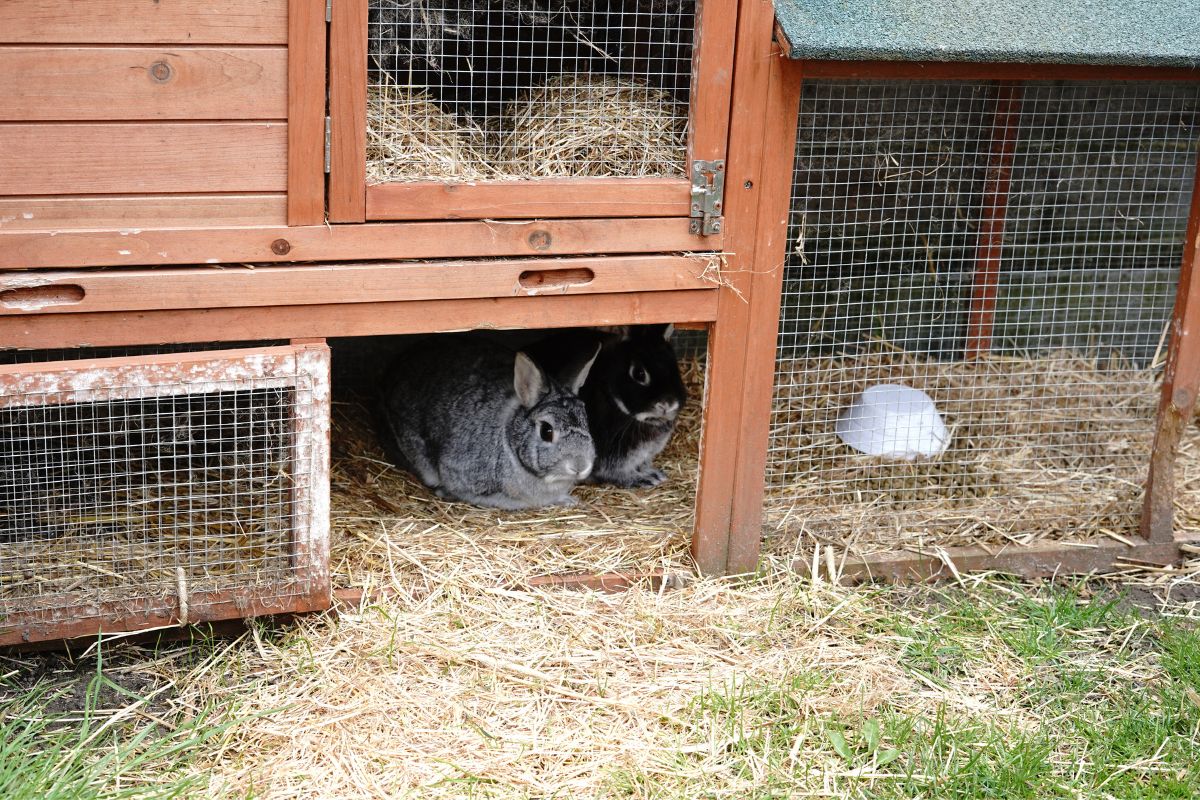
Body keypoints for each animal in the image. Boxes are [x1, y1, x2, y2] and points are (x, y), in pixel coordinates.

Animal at [532, 323, 691, 489]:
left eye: (675, 367)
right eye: (639, 373)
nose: (668, 404)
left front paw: (652, 473)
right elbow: (616, 473)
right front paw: (643, 479)